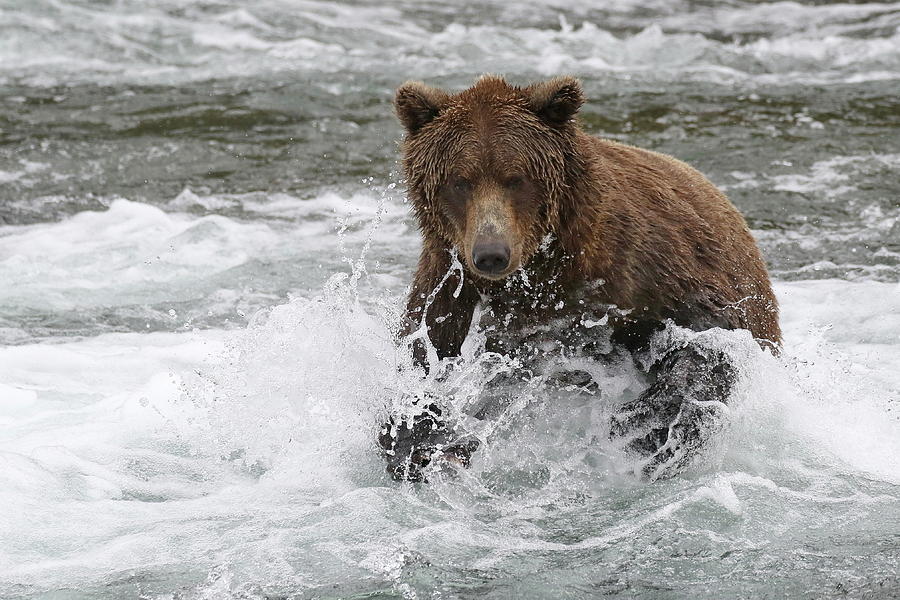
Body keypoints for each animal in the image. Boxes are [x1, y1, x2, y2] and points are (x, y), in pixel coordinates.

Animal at [380, 74, 780, 482]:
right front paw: (416, 438)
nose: (491, 253)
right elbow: (426, 355)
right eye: (460, 181)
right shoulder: (447, 279)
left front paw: (643, 425)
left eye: (515, 178)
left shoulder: (652, 270)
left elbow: (711, 338)